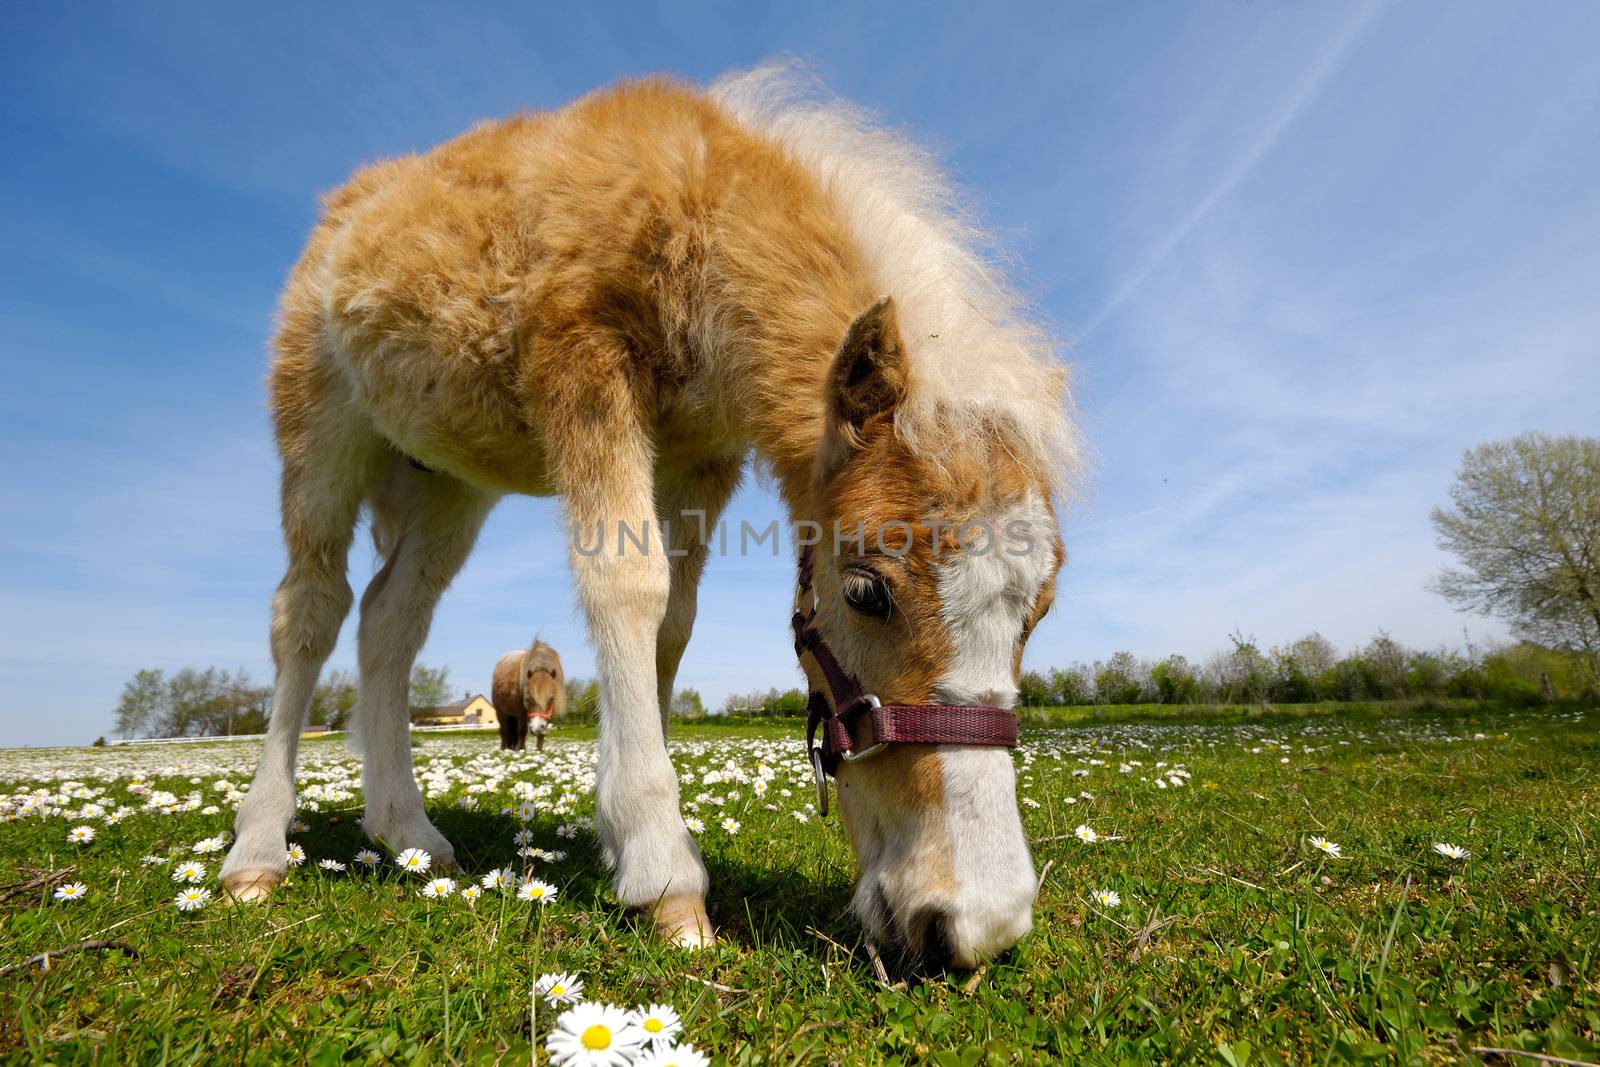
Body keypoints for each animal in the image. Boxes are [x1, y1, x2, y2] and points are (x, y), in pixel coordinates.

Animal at [222, 64, 1075, 966]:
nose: (973, 923)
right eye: (866, 591)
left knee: (390, 620)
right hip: (321, 429)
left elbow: (675, 618)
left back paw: (405, 832)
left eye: (1039, 613)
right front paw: (667, 879)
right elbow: (627, 585)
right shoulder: (585, 366)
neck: (694, 207)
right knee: (309, 612)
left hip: (450, 482)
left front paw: (623, 838)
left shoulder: (700, 455)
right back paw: (257, 850)